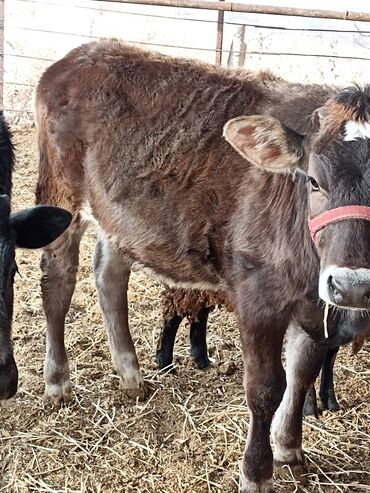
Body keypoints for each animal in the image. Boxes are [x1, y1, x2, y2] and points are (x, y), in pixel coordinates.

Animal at [36, 39, 370, 492]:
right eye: (314, 180)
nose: (352, 285)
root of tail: (80, 53)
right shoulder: (258, 296)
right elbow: (266, 387)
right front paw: (256, 473)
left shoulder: (319, 303)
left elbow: (302, 372)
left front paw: (289, 449)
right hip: (60, 192)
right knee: (58, 282)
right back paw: (58, 381)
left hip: (120, 215)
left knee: (108, 275)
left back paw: (131, 375)